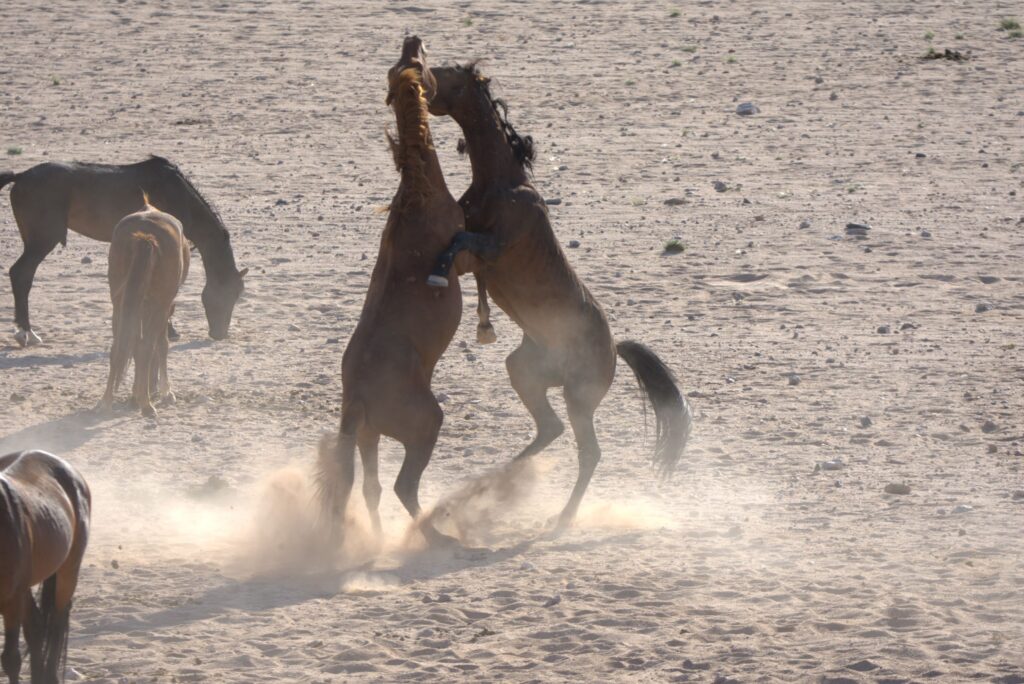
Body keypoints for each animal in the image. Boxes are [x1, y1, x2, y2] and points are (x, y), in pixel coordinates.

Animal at [0, 156, 245, 348]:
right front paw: (169, 329)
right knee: (21, 274)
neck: (178, 195)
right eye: (231, 294)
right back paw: (27, 333)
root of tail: (21, 176)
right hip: (41, 241)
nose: (219, 334)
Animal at [0, 448, 91, 684]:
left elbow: (11, 659)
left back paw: (49, 675)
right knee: (37, 627)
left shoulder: (12, 600)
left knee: (57, 622)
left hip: (68, 570)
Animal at [99, 193, 190, 417]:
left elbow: (132, 344)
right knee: (146, 347)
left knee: (119, 346)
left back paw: (106, 401)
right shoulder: (163, 307)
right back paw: (147, 404)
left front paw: (135, 394)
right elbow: (160, 345)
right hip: (158, 304)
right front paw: (164, 391)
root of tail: (146, 234)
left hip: (120, 304)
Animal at [315, 37, 468, 548]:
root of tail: (358, 394)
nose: (410, 37)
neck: (417, 196)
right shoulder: (463, 255)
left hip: (368, 436)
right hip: (423, 426)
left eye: (402, 62)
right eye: (419, 63)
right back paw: (438, 536)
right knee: (402, 487)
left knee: (371, 488)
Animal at [423, 61, 696, 528]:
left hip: (578, 398)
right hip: (525, 371)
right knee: (551, 429)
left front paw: (436, 275)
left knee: (589, 451)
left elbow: (458, 240)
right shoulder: (478, 260)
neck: (502, 182)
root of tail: (613, 350)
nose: (420, 83)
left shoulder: (491, 248)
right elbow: (455, 239)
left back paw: (561, 518)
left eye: (449, 74)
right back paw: (497, 482)